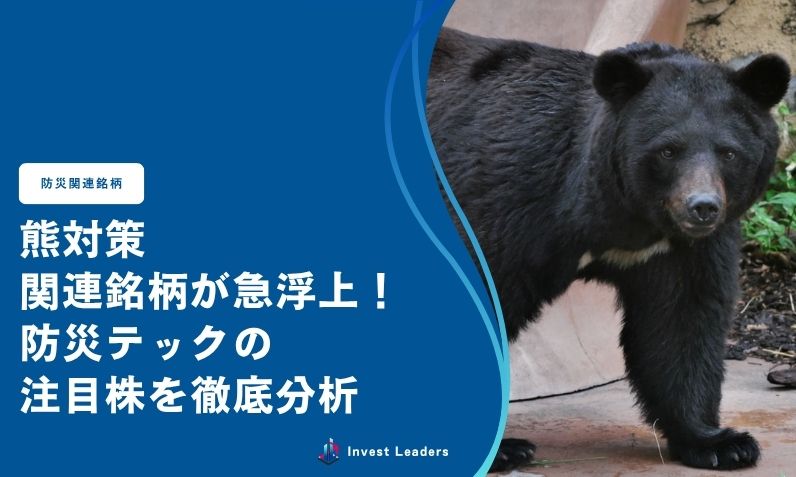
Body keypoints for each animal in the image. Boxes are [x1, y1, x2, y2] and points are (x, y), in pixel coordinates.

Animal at [425, 27, 790, 471]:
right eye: (668, 150)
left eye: (729, 152)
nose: (702, 207)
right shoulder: (506, 199)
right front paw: (501, 447)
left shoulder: (680, 250)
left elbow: (681, 318)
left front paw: (720, 443)